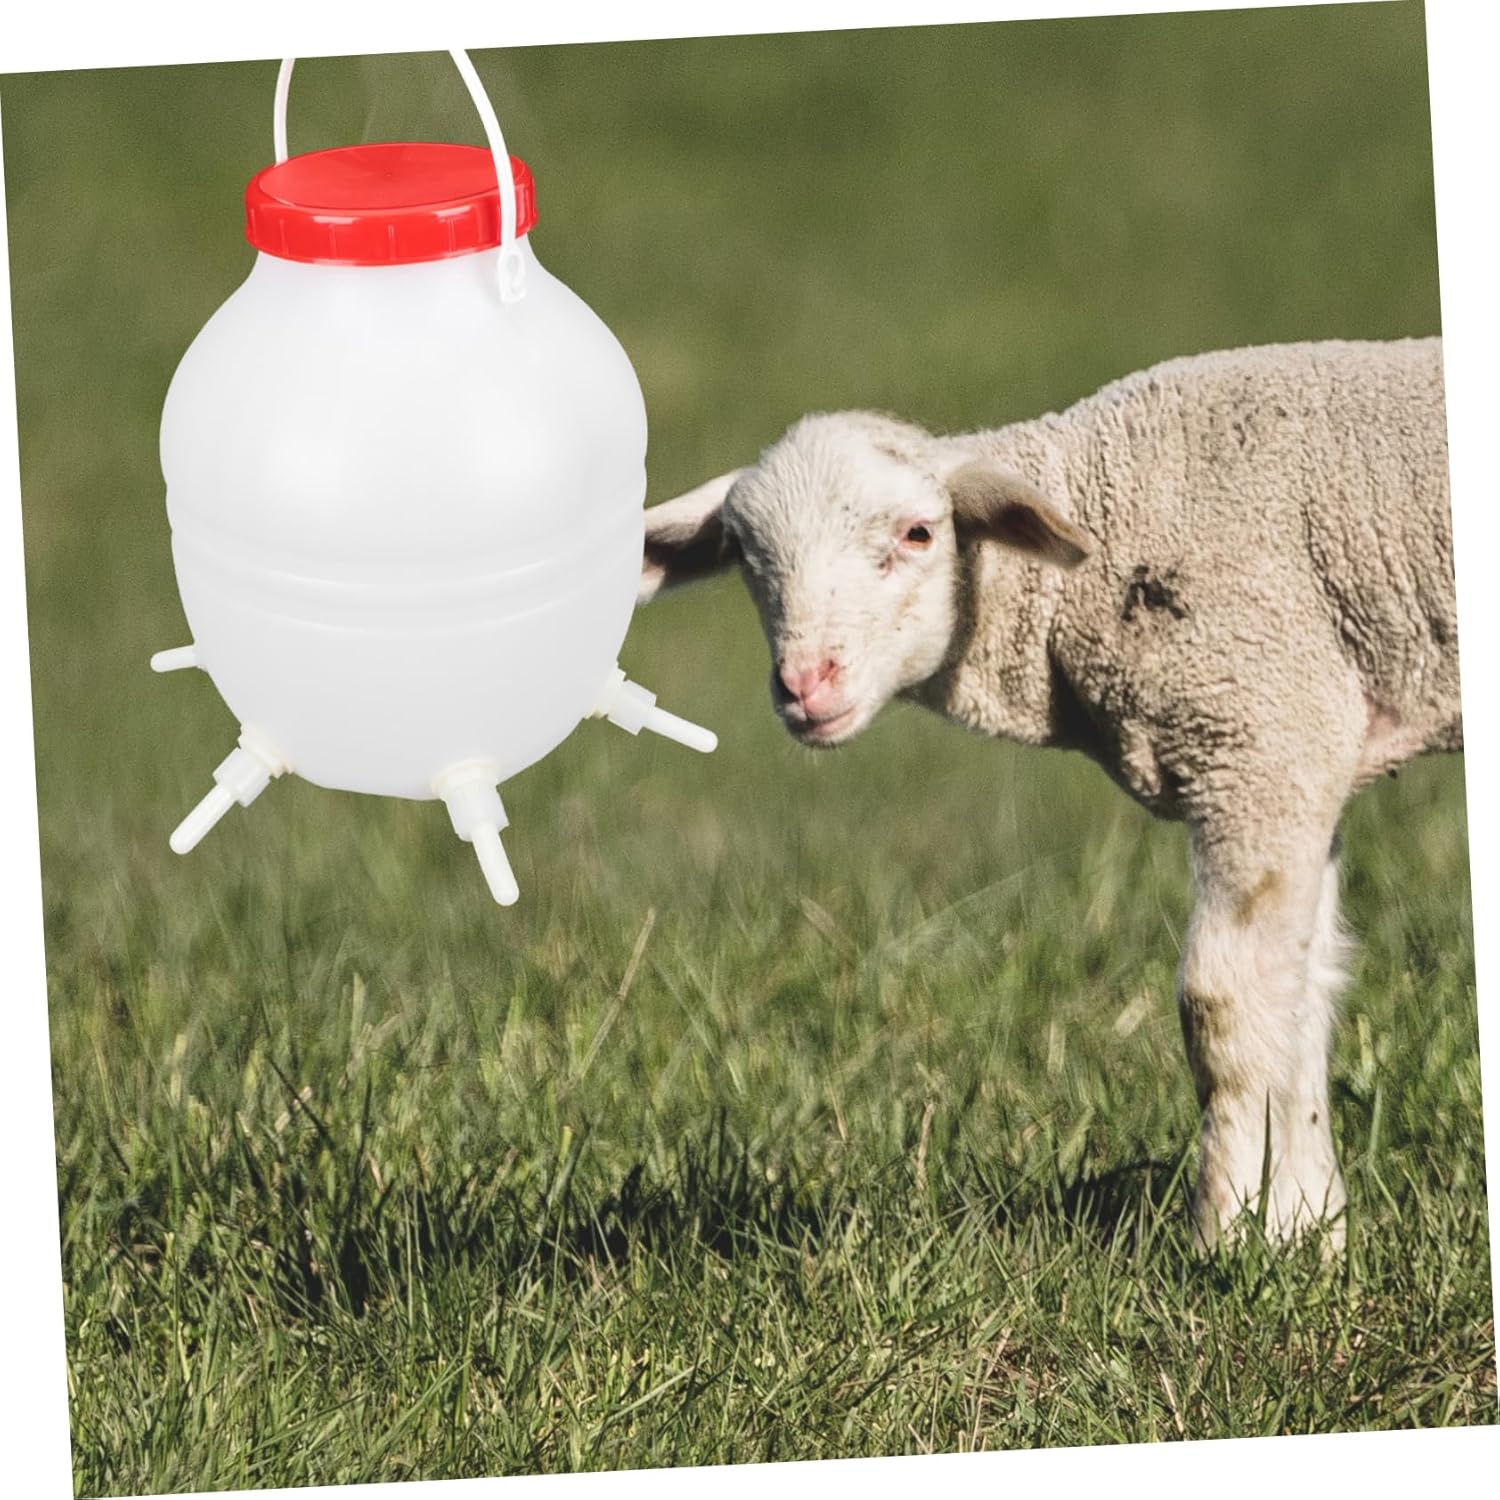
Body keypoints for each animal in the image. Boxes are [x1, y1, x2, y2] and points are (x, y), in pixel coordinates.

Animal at [638, 337, 1458, 1251]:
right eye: (748, 557)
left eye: (920, 533)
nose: (805, 683)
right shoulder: (1303, 750)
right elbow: (1302, 995)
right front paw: (1305, 1234)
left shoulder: (1260, 731)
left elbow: (1227, 1005)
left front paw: (1230, 1235)